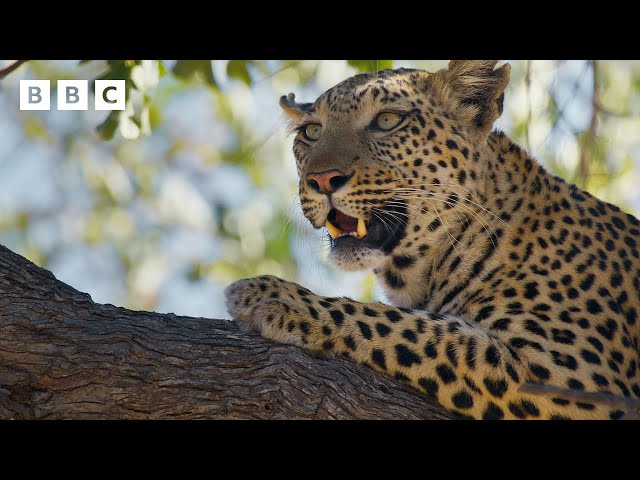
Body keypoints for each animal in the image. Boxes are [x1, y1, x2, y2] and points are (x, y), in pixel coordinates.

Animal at [225, 61, 640, 420]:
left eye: (387, 120)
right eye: (311, 132)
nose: (321, 180)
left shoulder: (574, 376)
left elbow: (419, 328)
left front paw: (278, 298)